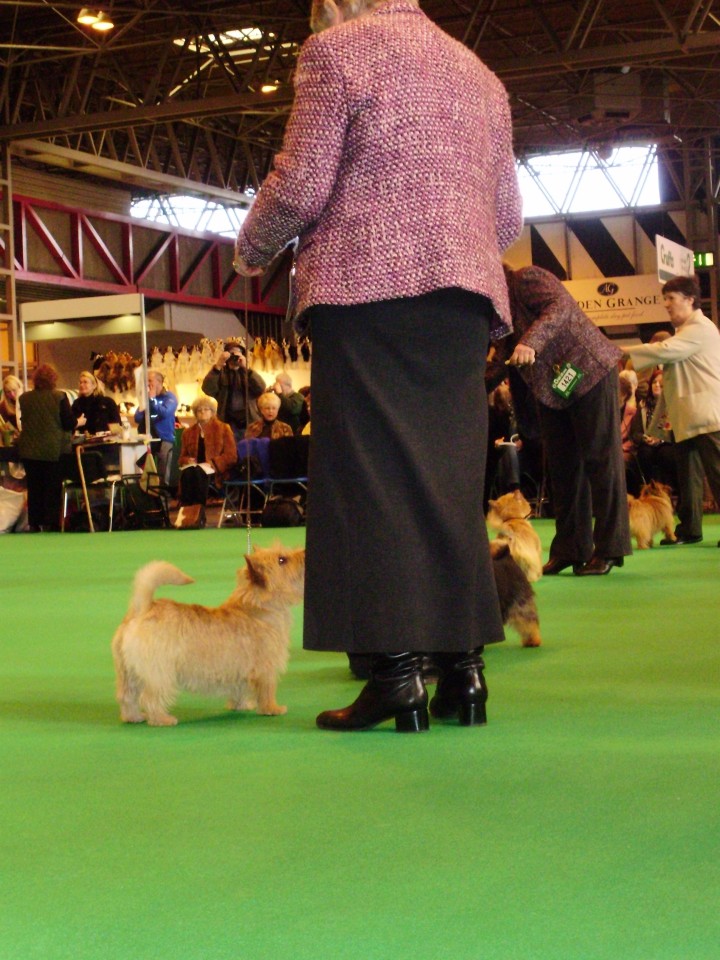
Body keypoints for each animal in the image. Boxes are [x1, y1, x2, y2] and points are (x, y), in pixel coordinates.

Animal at [112, 544, 304, 724]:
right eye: (282, 560)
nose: (304, 552)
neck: (256, 607)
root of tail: (143, 609)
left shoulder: (238, 670)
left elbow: (239, 690)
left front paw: (241, 705)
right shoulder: (266, 666)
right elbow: (267, 690)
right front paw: (272, 709)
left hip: (128, 672)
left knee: (127, 696)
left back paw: (134, 717)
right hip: (159, 672)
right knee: (150, 697)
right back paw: (162, 719)